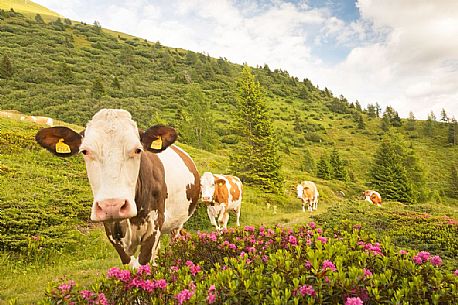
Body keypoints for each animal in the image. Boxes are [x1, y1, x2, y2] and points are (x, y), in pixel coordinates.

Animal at [35, 108, 199, 266]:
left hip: (177, 225)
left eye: (138, 150)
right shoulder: (111, 229)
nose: (112, 206)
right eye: (85, 151)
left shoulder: (154, 225)